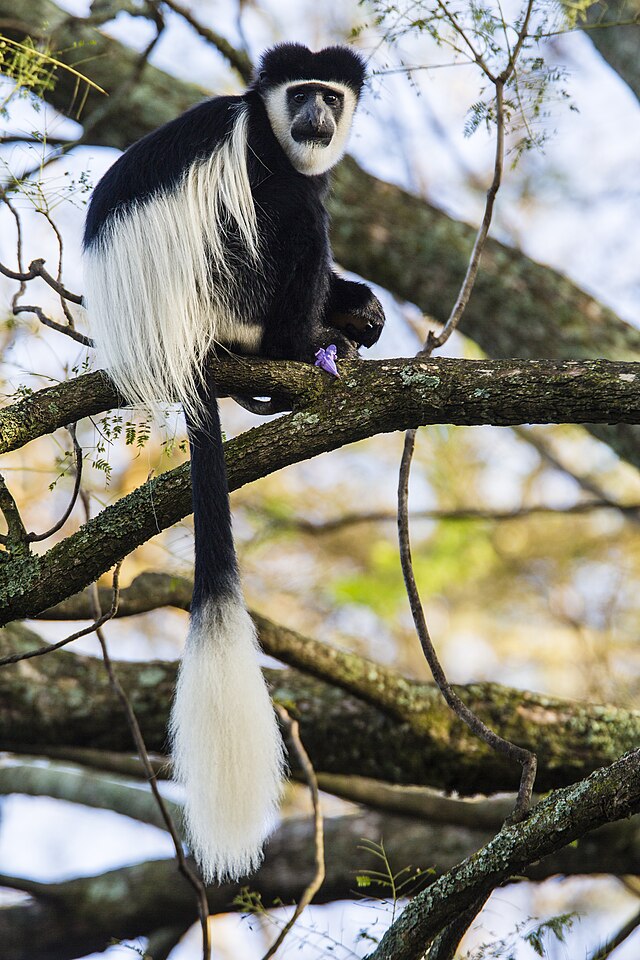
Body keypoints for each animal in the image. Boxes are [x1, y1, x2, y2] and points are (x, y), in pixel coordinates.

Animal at [84, 45, 384, 884]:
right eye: (300, 94)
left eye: (330, 96)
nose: (314, 115)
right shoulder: (256, 159)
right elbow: (292, 209)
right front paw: (332, 318)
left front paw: (363, 303)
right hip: (228, 289)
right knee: (296, 220)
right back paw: (301, 342)